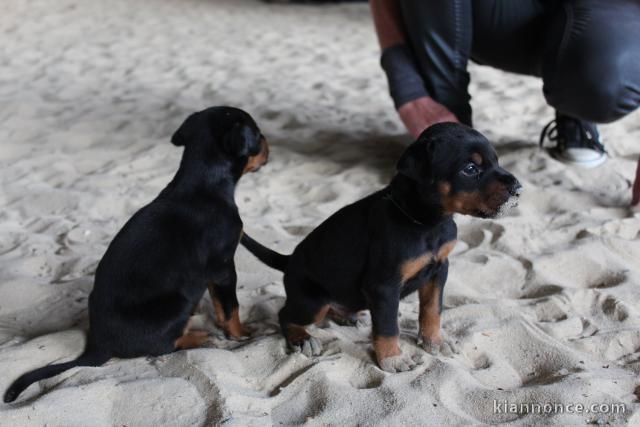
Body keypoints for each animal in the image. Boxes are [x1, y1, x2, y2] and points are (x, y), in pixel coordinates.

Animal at [3, 105, 268, 402]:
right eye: (258, 134)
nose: (268, 143)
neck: (203, 183)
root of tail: (98, 347)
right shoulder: (224, 267)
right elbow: (232, 307)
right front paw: (242, 333)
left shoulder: (214, 273)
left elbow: (221, 306)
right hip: (178, 303)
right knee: (163, 345)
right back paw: (198, 337)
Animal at [240, 124, 520, 374]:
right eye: (470, 169)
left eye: (497, 161)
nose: (518, 189)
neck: (426, 223)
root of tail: (288, 261)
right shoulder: (384, 286)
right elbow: (387, 327)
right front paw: (392, 359)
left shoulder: (439, 269)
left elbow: (432, 310)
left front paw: (435, 342)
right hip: (311, 300)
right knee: (286, 315)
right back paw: (303, 338)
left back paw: (347, 315)